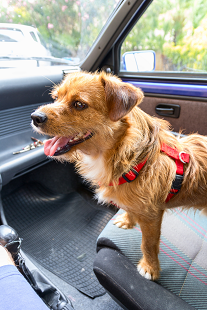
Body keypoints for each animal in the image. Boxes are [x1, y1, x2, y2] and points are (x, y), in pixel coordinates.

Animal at [30, 72, 207, 280]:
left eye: (79, 104)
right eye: (56, 97)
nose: (35, 117)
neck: (132, 158)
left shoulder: (151, 216)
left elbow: (148, 244)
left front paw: (150, 267)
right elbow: (128, 208)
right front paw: (127, 220)